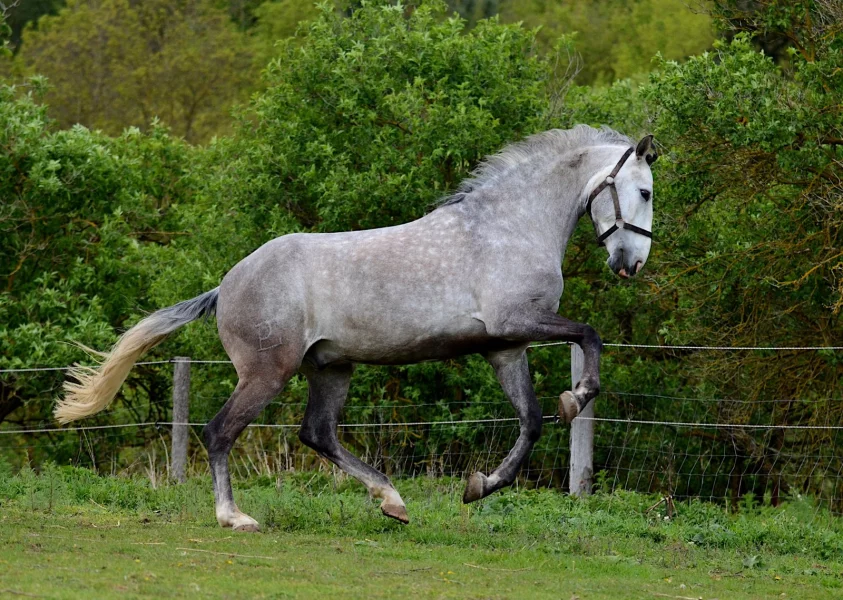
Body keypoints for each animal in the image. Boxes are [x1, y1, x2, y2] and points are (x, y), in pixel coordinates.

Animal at [54, 125, 660, 528]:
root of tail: (226, 285)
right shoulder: (519, 321)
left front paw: (478, 486)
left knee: (317, 434)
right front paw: (576, 396)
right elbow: (589, 335)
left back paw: (392, 501)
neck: (508, 226)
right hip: (267, 373)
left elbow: (531, 422)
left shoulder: (505, 347)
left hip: (332, 367)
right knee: (220, 432)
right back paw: (235, 517)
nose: (631, 263)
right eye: (646, 191)